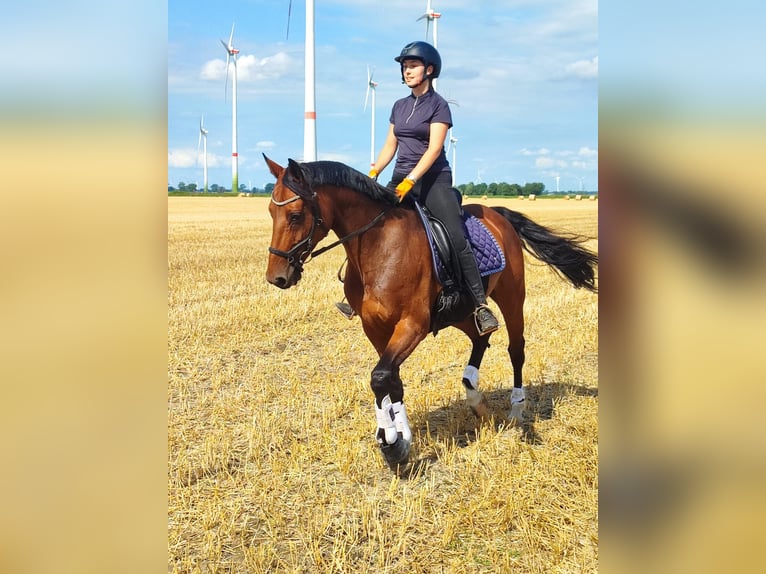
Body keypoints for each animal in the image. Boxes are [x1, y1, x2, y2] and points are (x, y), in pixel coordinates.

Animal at [266, 158, 600, 472]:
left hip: (512, 296)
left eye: (295, 215)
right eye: (271, 211)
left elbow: (380, 377)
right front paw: (399, 437)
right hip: (462, 311)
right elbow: (390, 380)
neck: (378, 246)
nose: (276, 277)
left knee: (515, 349)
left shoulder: (413, 324)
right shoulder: (374, 328)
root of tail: (496, 214)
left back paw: (517, 410)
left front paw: (391, 443)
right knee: (481, 337)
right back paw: (473, 394)